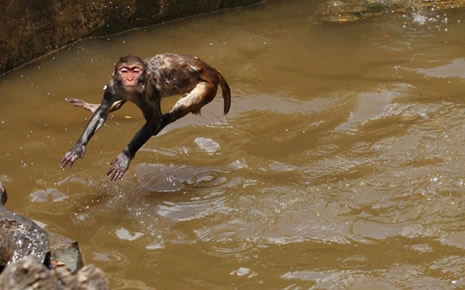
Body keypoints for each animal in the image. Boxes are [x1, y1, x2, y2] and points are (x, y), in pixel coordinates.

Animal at [59, 53, 230, 180]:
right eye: (124, 71)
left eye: (135, 71)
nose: (129, 79)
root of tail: (211, 69)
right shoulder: (113, 88)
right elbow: (102, 113)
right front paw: (78, 148)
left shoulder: (148, 92)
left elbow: (154, 121)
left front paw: (125, 155)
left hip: (208, 86)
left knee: (180, 108)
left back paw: (165, 122)